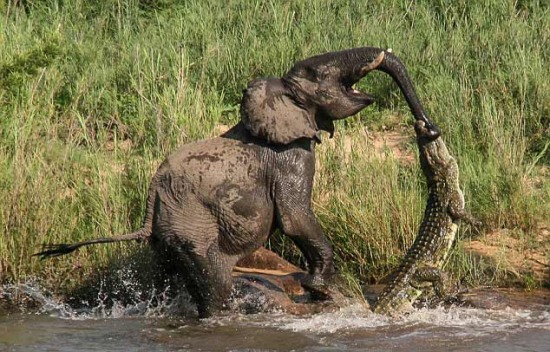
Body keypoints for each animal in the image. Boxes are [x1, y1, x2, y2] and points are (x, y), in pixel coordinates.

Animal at [35, 45, 440, 318]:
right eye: (314, 73)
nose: (429, 128)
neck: (277, 95)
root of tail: (152, 200)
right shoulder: (290, 156)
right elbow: (295, 218)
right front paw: (319, 289)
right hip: (192, 224)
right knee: (215, 283)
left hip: (168, 233)